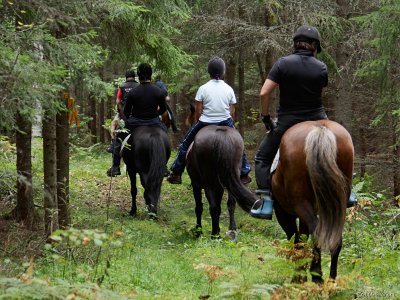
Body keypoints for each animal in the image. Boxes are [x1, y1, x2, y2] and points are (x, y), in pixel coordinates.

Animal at [272, 118, 354, 282]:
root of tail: (320, 129)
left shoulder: (283, 212)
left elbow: (296, 240)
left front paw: (298, 276)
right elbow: (303, 238)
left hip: (300, 203)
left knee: (316, 233)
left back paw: (317, 276)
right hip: (338, 203)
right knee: (335, 237)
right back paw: (331, 280)